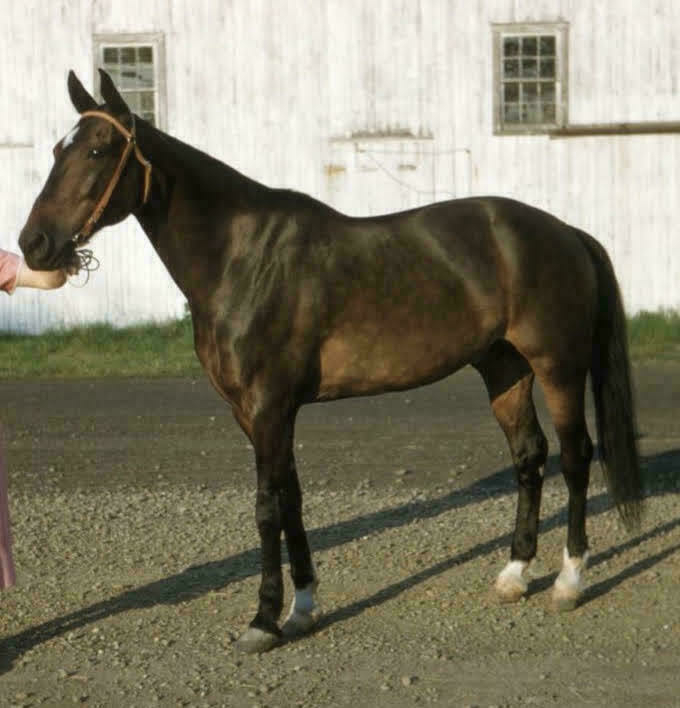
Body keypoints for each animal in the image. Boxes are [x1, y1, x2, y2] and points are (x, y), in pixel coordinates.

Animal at [18, 72, 640, 652]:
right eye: (55, 150)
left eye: (98, 150)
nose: (34, 244)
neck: (241, 256)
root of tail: (564, 232)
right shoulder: (258, 413)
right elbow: (291, 499)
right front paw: (302, 609)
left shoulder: (269, 407)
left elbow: (267, 507)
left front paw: (263, 621)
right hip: (504, 369)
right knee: (529, 456)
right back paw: (514, 575)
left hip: (559, 367)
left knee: (576, 457)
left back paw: (568, 582)